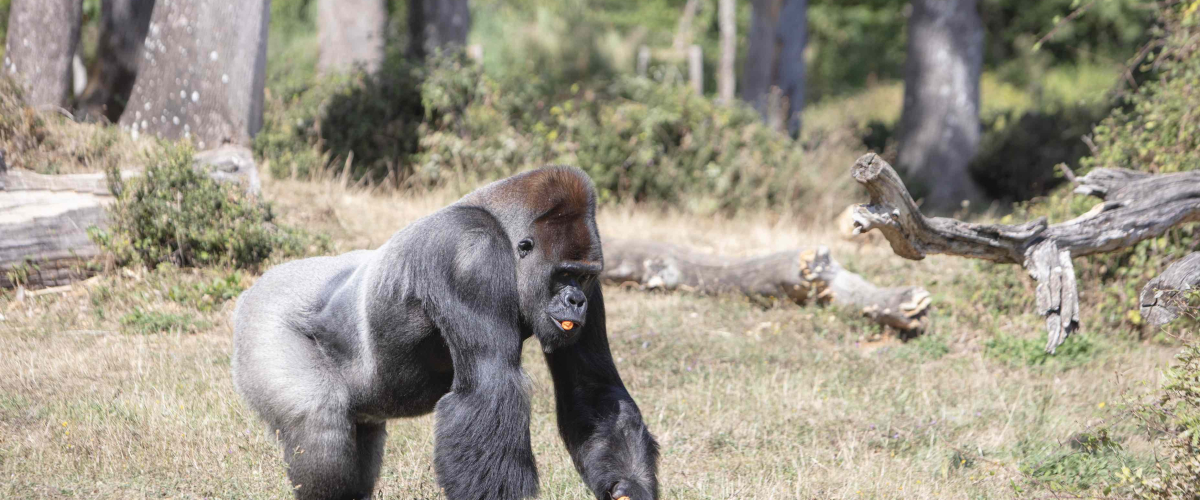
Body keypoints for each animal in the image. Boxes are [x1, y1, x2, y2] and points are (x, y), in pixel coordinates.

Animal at [229, 165, 662, 496]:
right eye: (564, 274)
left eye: (584, 276)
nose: (576, 301)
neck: (502, 227)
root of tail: (253, 288)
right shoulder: (469, 256)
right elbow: (489, 389)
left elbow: (592, 388)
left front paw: (628, 489)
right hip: (263, 319)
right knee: (318, 427)